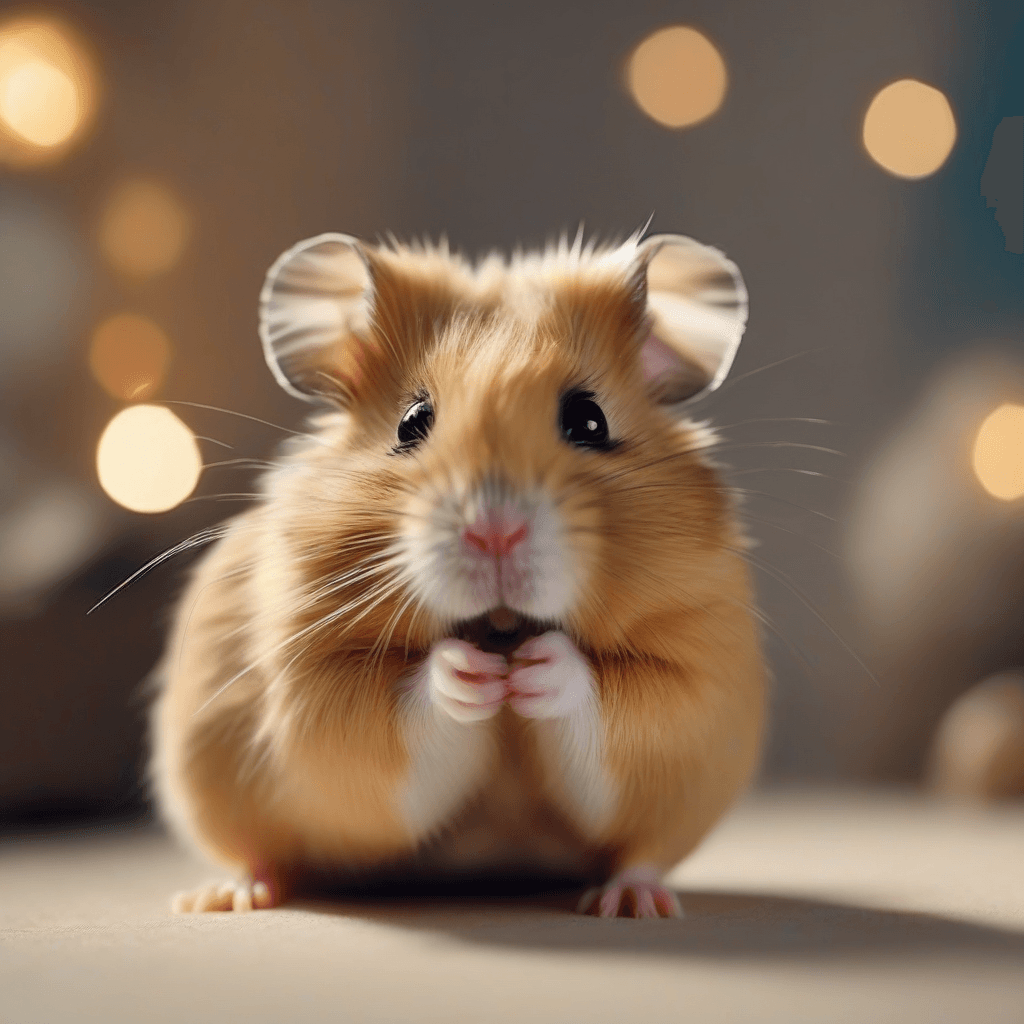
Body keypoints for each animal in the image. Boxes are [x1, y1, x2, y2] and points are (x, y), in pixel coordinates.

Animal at [150, 230, 765, 918]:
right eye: (412, 422)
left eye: (590, 420)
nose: (494, 532)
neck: (500, 627)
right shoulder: (312, 685)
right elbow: (395, 710)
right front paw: (474, 674)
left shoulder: (698, 678)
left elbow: (617, 703)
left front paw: (534, 668)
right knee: (260, 853)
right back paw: (225, 896)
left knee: (642, 856)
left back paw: (634, 903)